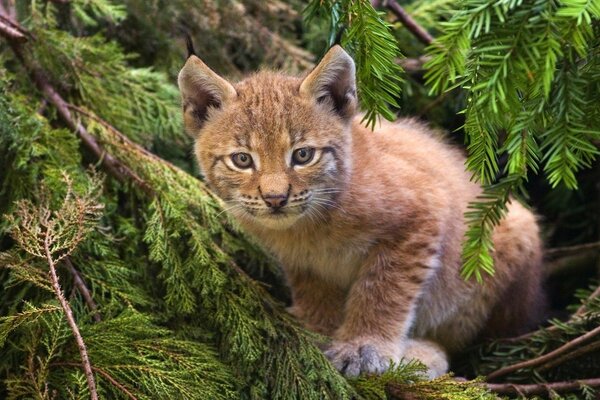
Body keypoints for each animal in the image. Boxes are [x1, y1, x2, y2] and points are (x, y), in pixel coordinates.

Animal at [177, 45, 544, 376]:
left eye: (303, 155)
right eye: (242, 160)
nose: (275, 198)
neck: (309, 224)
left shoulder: (423, 211)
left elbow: (383, 290)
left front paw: (364, 347)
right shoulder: (304, 262)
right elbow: (315, 291)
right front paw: (318, 330)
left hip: (505, 237)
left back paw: (422, 356)